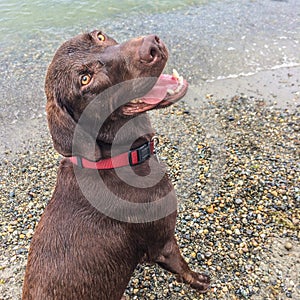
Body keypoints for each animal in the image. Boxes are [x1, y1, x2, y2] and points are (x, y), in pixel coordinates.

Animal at [22, 31, 210, 300]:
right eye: (85, 79)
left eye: (99, 36)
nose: (151, 46)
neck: (117, 158)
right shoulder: (163, 243)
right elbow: (182, 266)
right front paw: (198, 280)